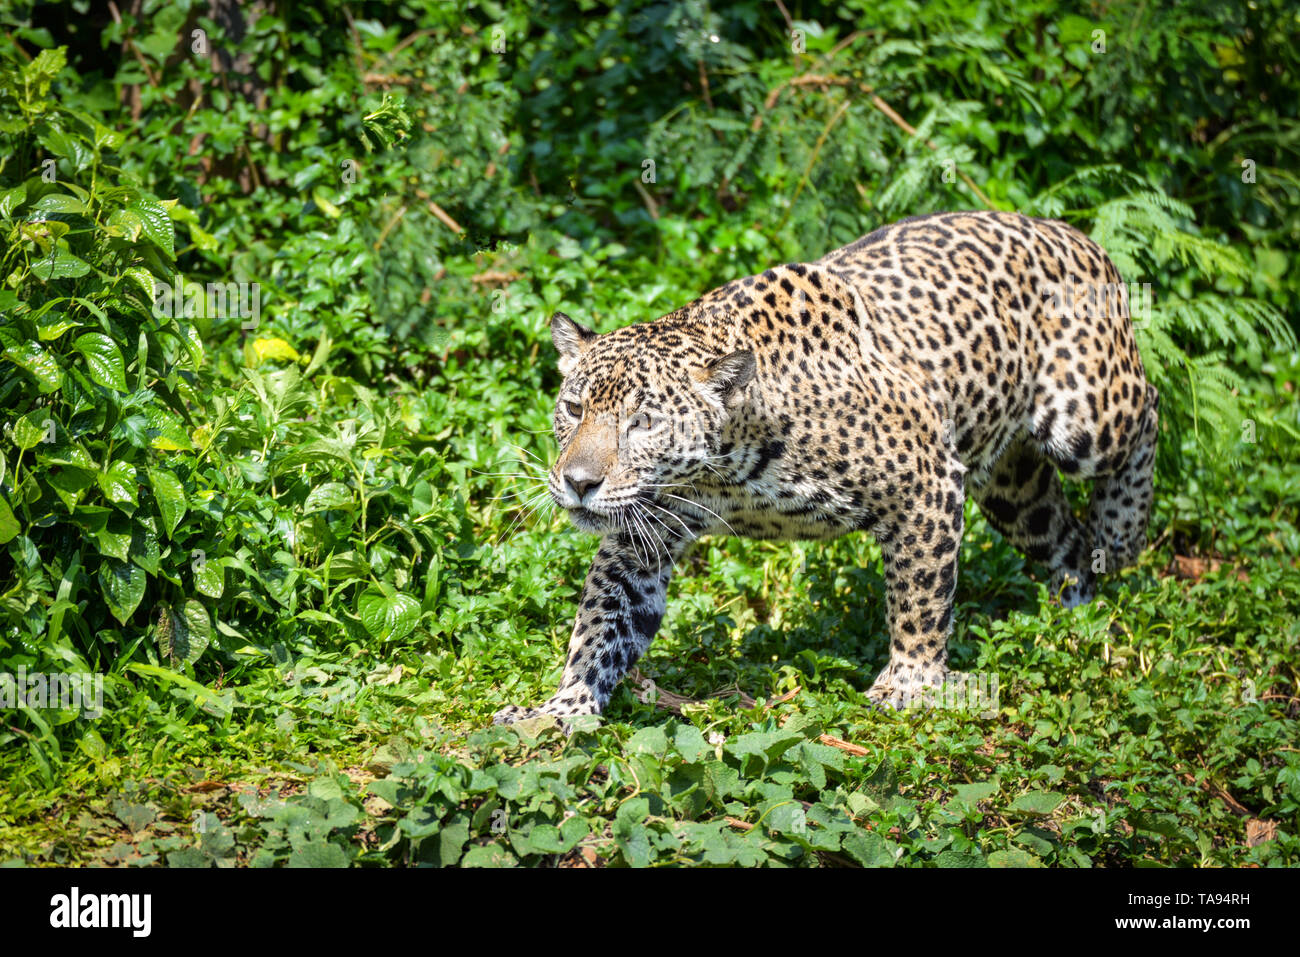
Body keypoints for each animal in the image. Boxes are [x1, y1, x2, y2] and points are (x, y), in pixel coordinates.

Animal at [492, 210, 1159, 726]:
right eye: (573, 409)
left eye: (645, 422)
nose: (579, 483)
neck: (726, 465)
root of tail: (1070, 231)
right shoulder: (641, 535)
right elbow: (603, 622)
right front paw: (563, 708)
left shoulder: (926, 482)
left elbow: (919, 597)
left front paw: (909, 684)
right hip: (1012, 488)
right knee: (1062, 535)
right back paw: (1077, 609)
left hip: (1088, 413)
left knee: (1148, 409)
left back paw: (1122, 536)